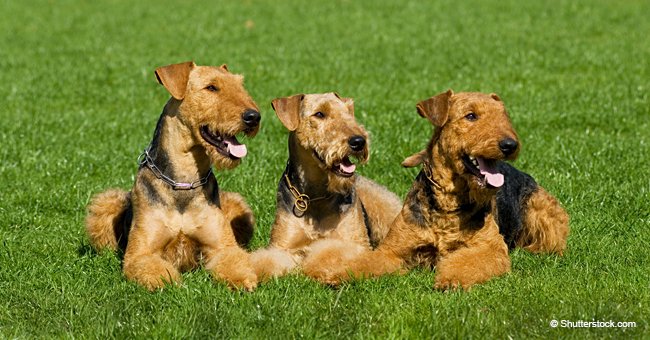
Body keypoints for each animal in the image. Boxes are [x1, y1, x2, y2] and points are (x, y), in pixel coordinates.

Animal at [85, 60, 260, 290]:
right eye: (211, 87)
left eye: (240, 85)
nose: (254, 117)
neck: (184, 181)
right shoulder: (141, 254)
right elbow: (156, 271)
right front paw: (169, 283)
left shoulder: (222, 247)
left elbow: (235, 260)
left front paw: (243, 279)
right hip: (107, 203)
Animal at [248, 91, 400, 278]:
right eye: (320, 114)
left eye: (348, 111)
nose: (359, 141)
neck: (316, 195)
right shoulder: (282, 246)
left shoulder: (357, 244)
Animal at [304, 89, 568, 290]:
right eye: (471, 115)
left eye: (503, 116)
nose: (510, 145)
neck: (448, 203)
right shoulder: (392, 251)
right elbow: (364, 262)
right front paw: (335, 275)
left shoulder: (491, 249)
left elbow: (467, 262)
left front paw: (450, 280)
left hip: (545, 213)